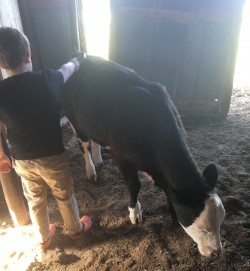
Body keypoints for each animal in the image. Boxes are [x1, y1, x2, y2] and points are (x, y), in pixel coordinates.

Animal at [61, 54, 226, 258]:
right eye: (202, 227)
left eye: (221, 221)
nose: (217, 252)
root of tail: (80, 57)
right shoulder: (122, 157)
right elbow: (134, 185)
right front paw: (135, 213)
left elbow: (169, 191)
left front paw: (173, 213)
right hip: (75, 119)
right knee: (84, 144)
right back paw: (91, 171)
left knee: (96, 141)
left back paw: (99, 161)